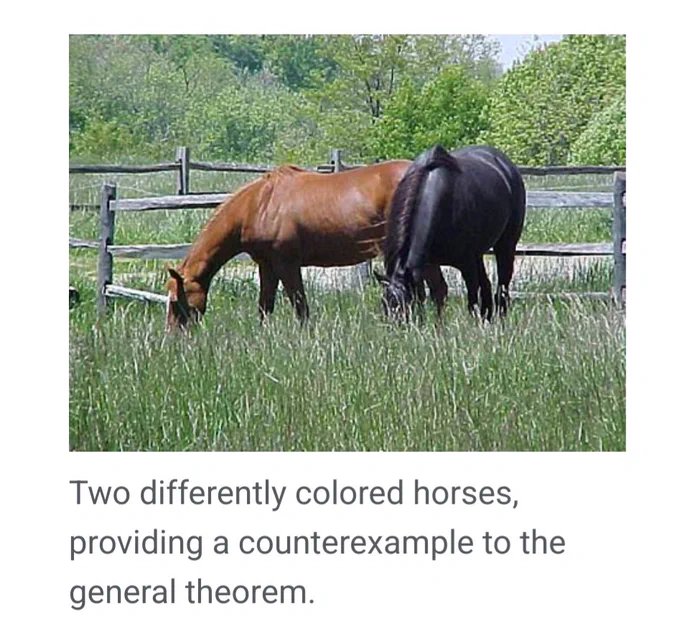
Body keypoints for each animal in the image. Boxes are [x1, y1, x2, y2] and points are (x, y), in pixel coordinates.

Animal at [164, 161, 450, 331]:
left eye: (176, 301)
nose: (173, 336)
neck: (258, 204)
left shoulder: (287, 264)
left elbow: (300, 306)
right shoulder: (267, 266)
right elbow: (265, 306)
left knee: (436, 290)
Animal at [380, 144, 526, 322]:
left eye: (405, 305)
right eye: (384, 305)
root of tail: (507, 166)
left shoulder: (467, 263)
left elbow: (471, 298)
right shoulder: (428, 264)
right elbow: (437, 294)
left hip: (505, 244)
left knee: (502, 286)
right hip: (478, 254)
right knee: (486, 285)